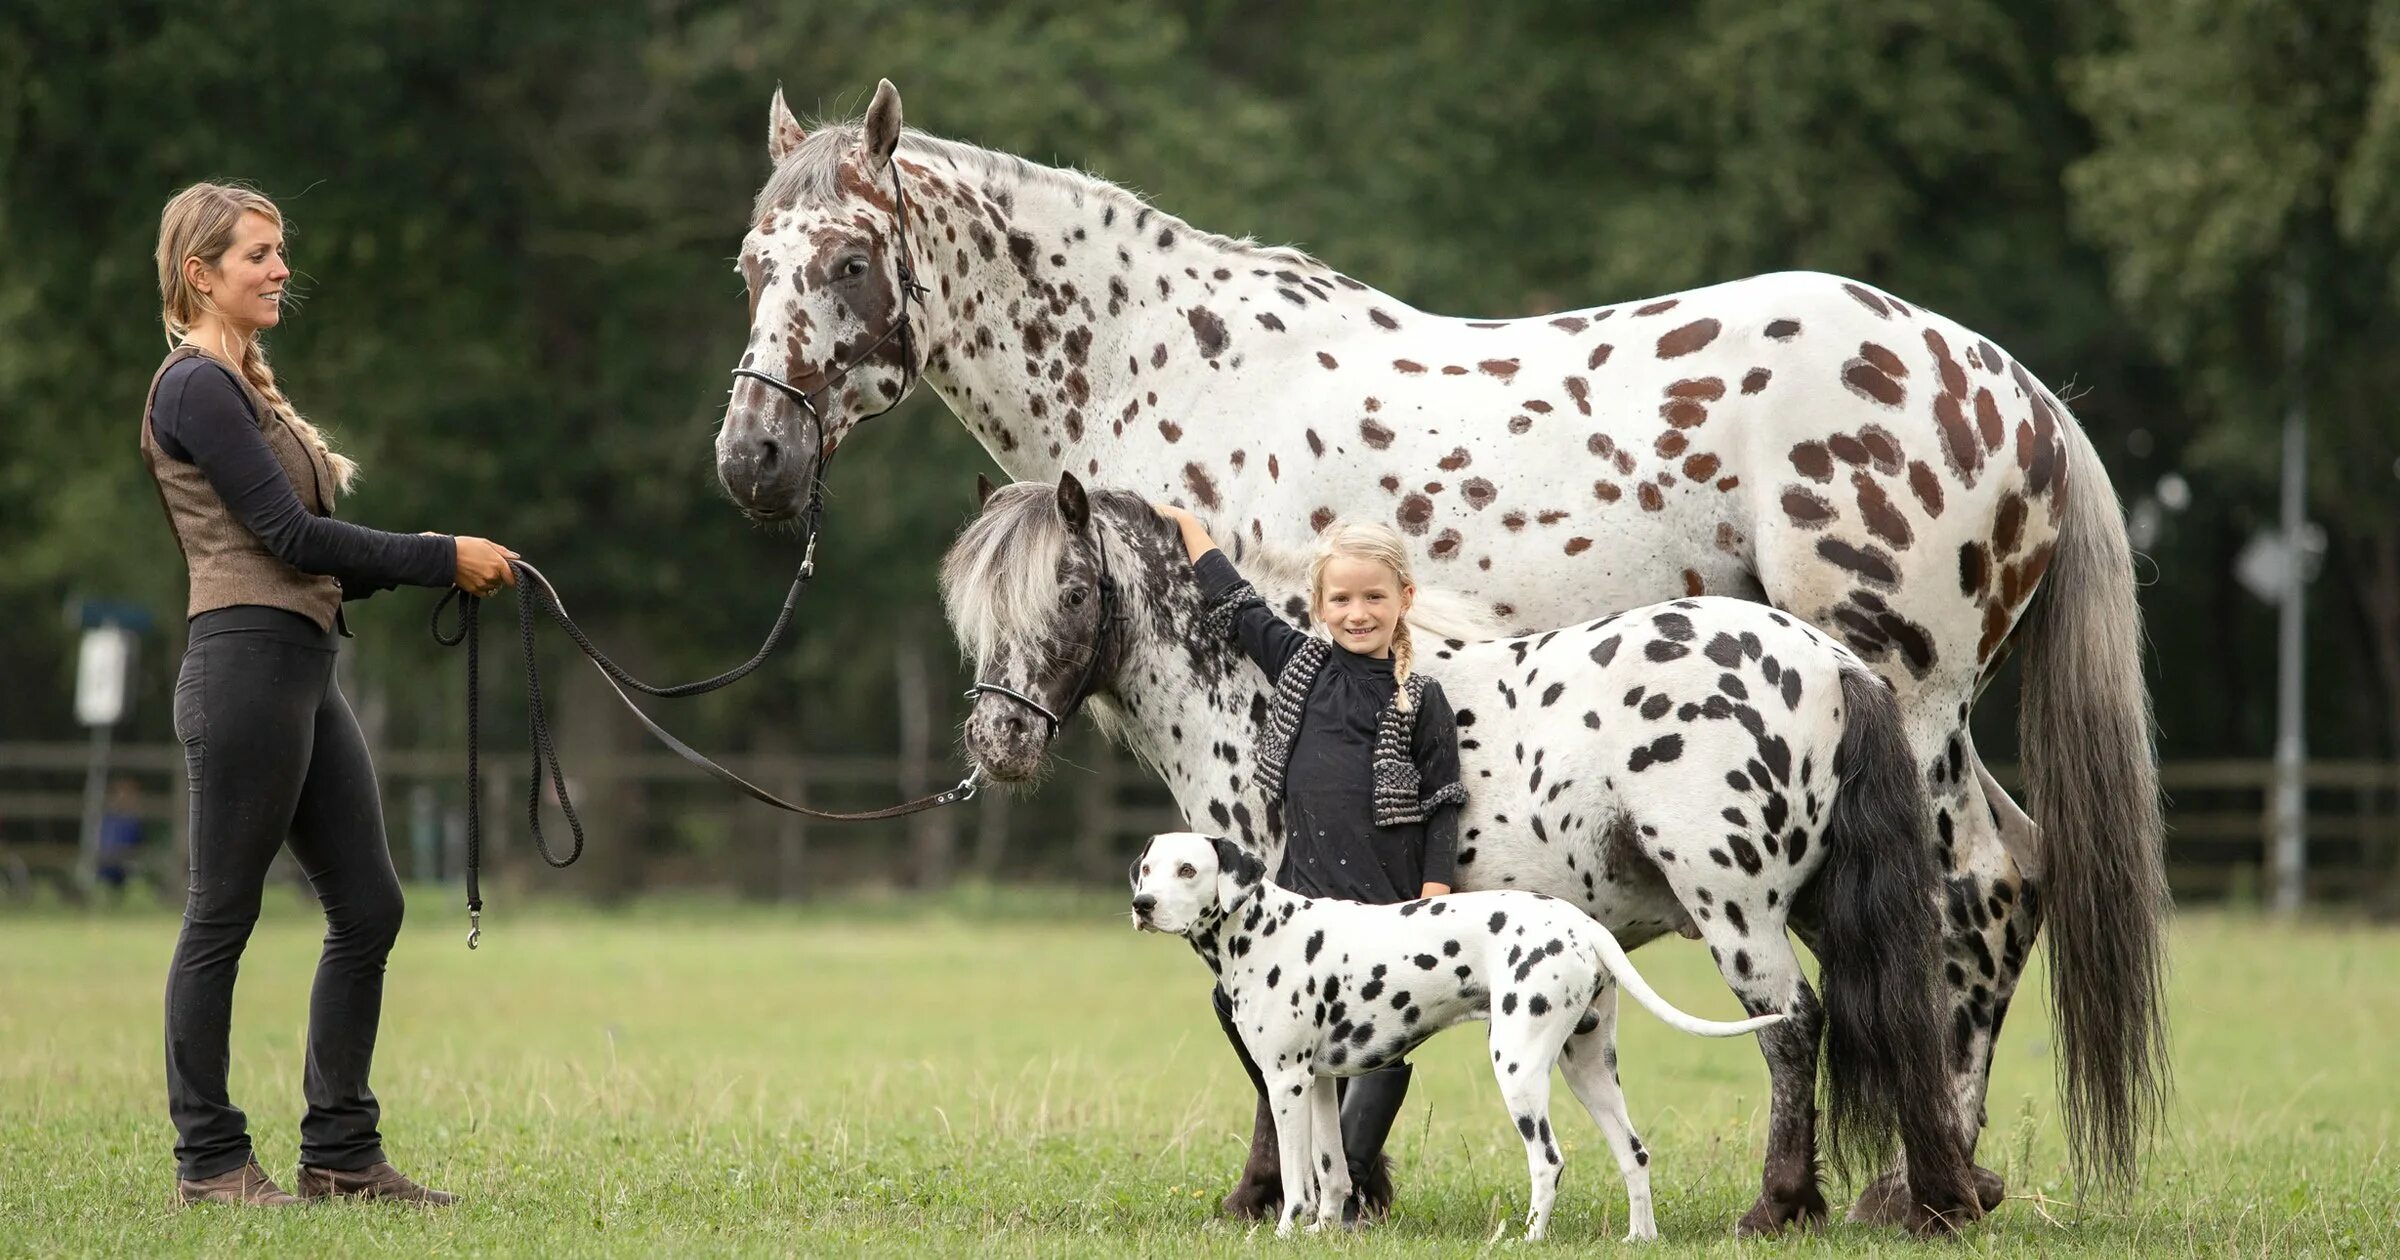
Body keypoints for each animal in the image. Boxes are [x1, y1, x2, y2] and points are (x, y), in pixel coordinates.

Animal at [1128, 825, 1785, 1238]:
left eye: (1188, 869)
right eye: (1148, 868)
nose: (1142, 904)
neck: (1263, 928)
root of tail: (1578, 922)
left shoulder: (1286, 1083)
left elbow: (1295, 1178)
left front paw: (1289, 1231)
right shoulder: (1320, 1083)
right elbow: (1332, 1172)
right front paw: (1323, 1231)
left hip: (1518, 1068)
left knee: (1548, 1161)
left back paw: (1525, 1239)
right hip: (1589, 1071)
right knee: (1635, 1154)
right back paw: (1638, 1239)